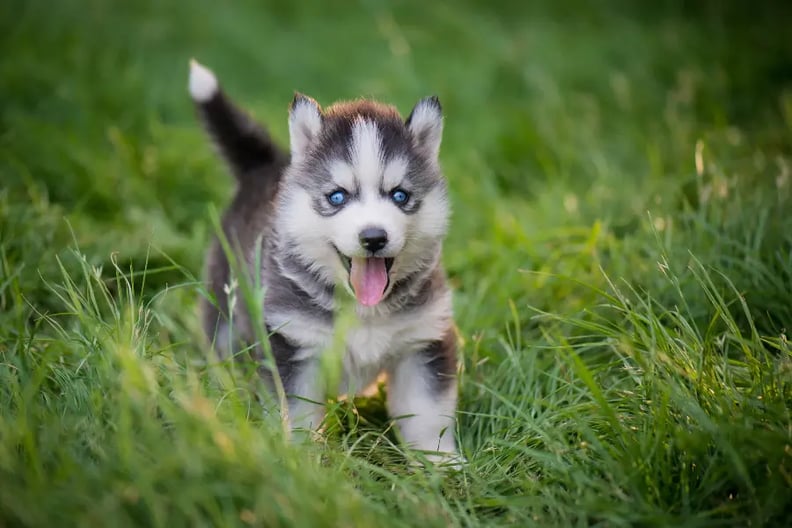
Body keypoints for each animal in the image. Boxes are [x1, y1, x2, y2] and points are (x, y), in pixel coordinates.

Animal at [187, 59, 458, 460]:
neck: (364, 310)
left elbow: (427, 415)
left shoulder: (423, 341)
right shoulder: (292, 344)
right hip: (226, 309)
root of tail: (268, 167)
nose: (373, 237)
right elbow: (296, 413)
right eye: (337, 197)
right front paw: (300, 460)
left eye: (400, 195)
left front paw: (442, 463)